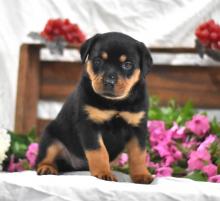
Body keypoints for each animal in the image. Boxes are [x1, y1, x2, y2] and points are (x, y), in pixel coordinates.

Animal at [36, 31, 153, 184]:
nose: (109, 81)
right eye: (98, 60)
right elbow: (99, 151)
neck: (115, 103)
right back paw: (47, 168)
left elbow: (138, 154)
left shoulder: (138, 127)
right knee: (45, 157)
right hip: (50, 138)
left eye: (127, 64)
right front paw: (103, 173)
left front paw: (141, 174)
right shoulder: (89, 125)